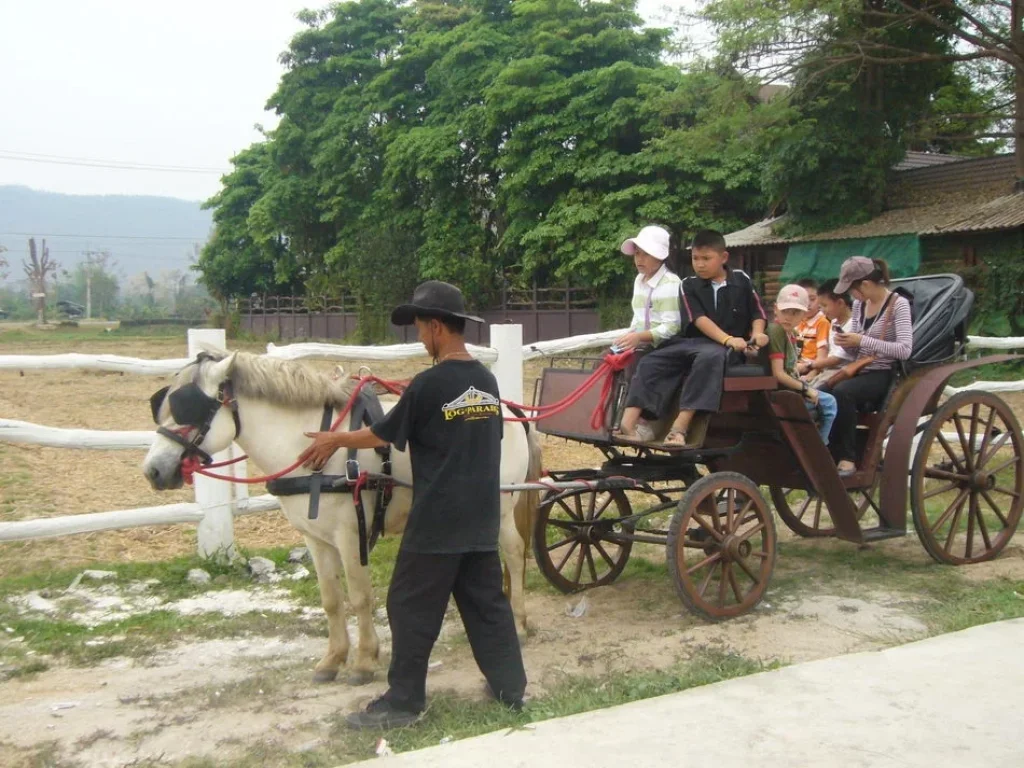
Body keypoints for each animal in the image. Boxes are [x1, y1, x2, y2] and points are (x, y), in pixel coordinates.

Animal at [142, 354, 544, 684]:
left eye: (188, 408)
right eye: (161, 405)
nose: (153, 470)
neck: (309, 443)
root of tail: (509, 409)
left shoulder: (351, 533)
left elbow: (361, 596)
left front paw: (365, 661)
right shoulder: (316, 538)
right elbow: (332, 599)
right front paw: (333, 659)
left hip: (500, 504)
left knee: (513, 552)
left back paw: (518, 620)